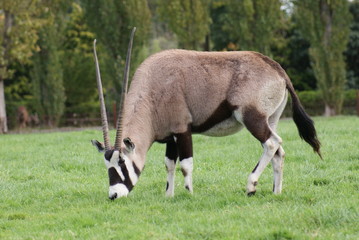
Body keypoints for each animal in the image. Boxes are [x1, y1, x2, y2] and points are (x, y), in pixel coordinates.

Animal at [91, 28, 322, 201]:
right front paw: (168, 195)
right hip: (270, 120)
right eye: (106, 164)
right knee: (278, 151)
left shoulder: (183, 130)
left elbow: (185, 164)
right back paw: (276, 192)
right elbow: (169, 164)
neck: (153, 88)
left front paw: (189, 194)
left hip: (252, 119)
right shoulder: (171, 137)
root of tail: (277, 69)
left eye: (122, 162)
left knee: (272, 143)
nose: (113, 195)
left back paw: (251, 186)